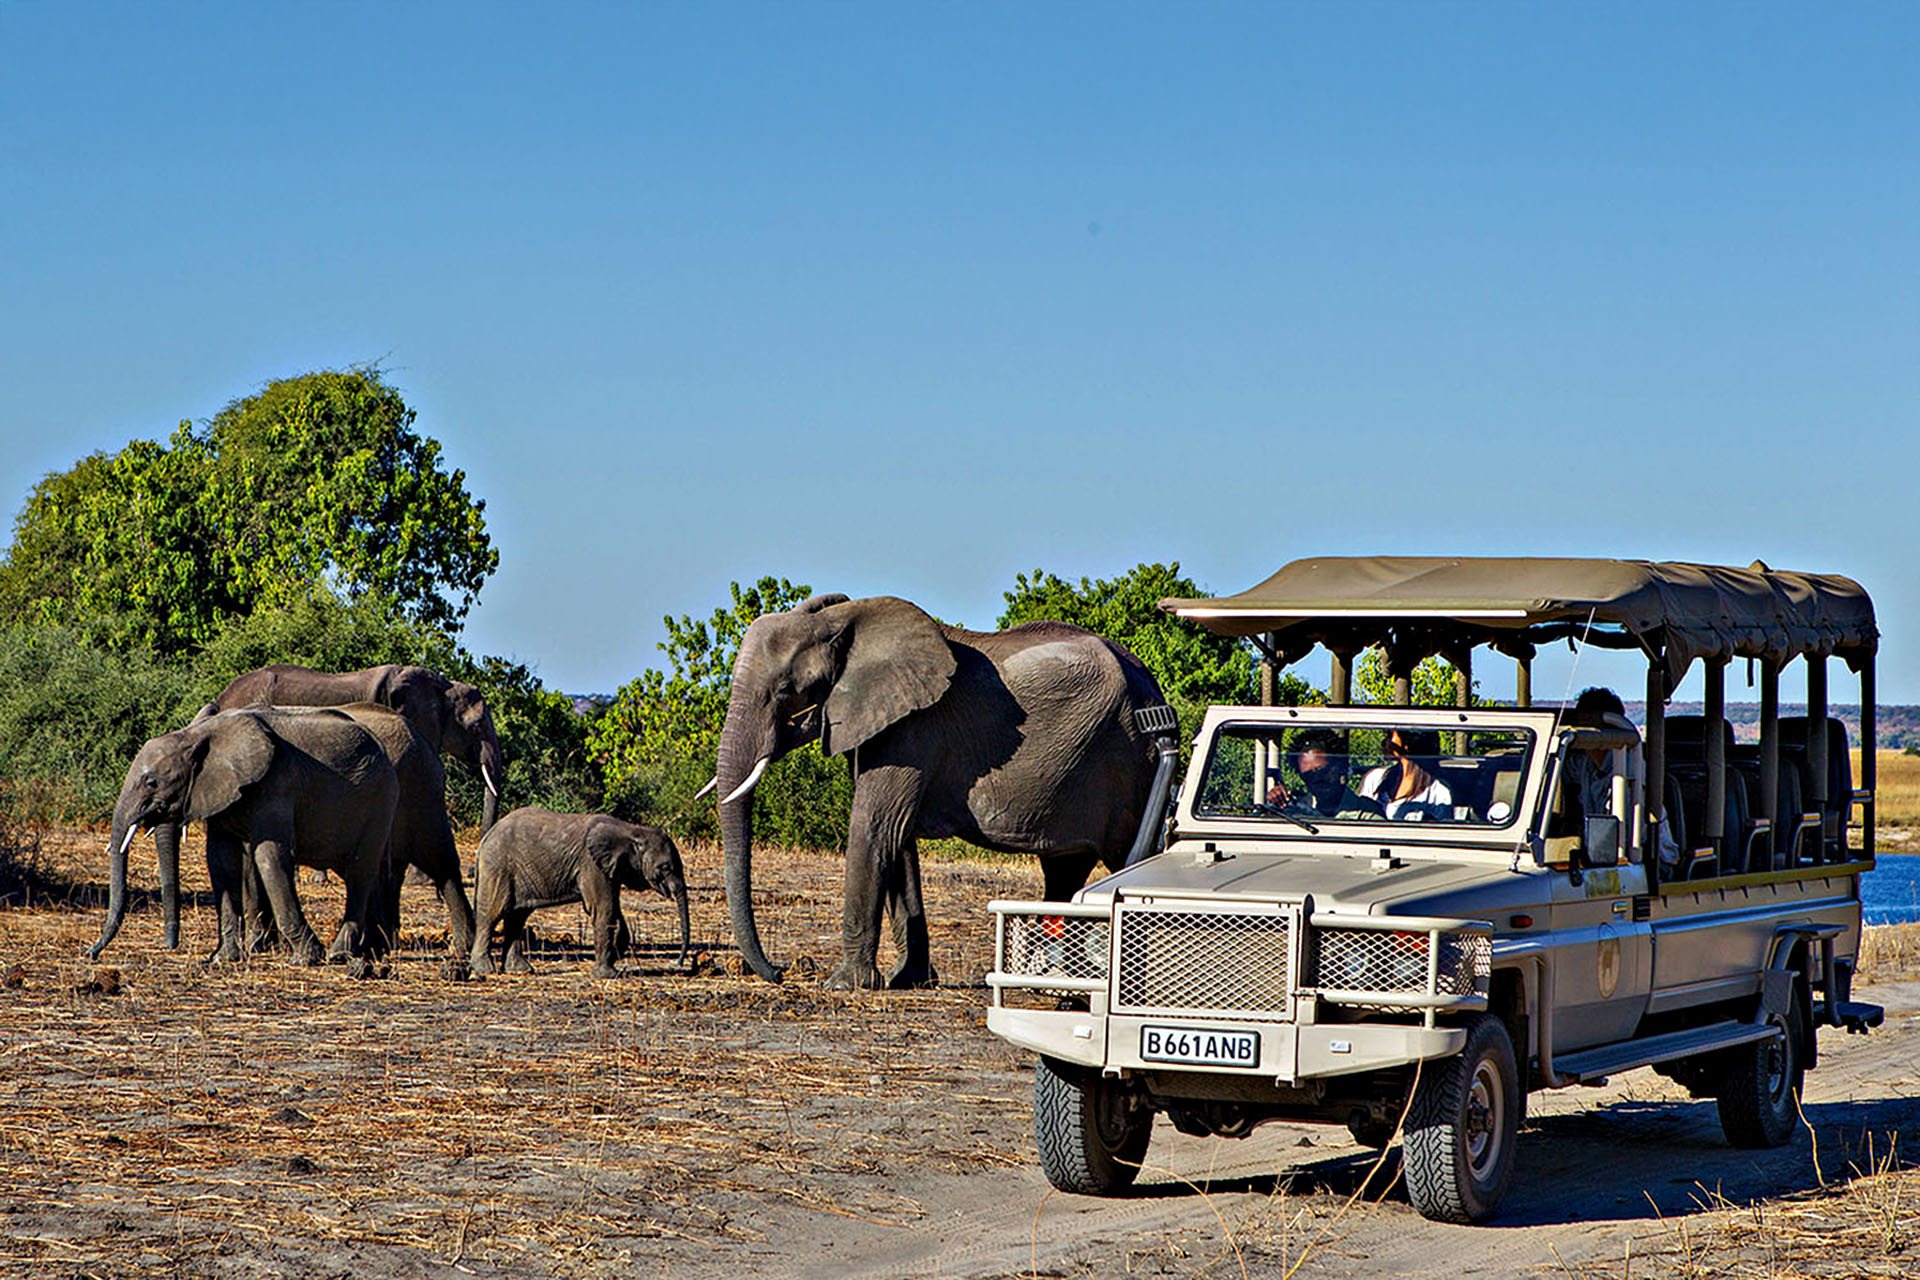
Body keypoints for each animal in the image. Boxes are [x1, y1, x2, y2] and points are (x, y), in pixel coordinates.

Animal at [89, 707, 398, 970]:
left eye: (151, 782)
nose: (91, 953)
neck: (196, 735)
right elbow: (220, 861)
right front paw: (222, 959)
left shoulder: (275, 786)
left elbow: (270, 857)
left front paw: (305, 958)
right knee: (361, 874)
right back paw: (372, 951)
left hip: (380, 801)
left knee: (359, 872)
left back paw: (339, 954)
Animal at [469, 807, 691, 979]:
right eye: (665, 867)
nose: (677, 964)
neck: (632, 831)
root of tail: (486, 838)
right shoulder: (591, 863)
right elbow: (603, 909)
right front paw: (607, 975)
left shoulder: (609, 868)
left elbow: (613, 909)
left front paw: (615, 955)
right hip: (497, 866)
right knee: (492, 913)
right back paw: (485, 970)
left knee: (517, 917)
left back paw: (520, 970)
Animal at [715, 594, 1172, 991]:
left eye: (785, 691)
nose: (780, 972)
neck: (842, 621)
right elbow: (897, 842)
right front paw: (909, 979)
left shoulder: (913, 729)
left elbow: (874, 828)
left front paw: (843, 985)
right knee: (1065, 868)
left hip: (1132, 761)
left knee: (1126, 860)